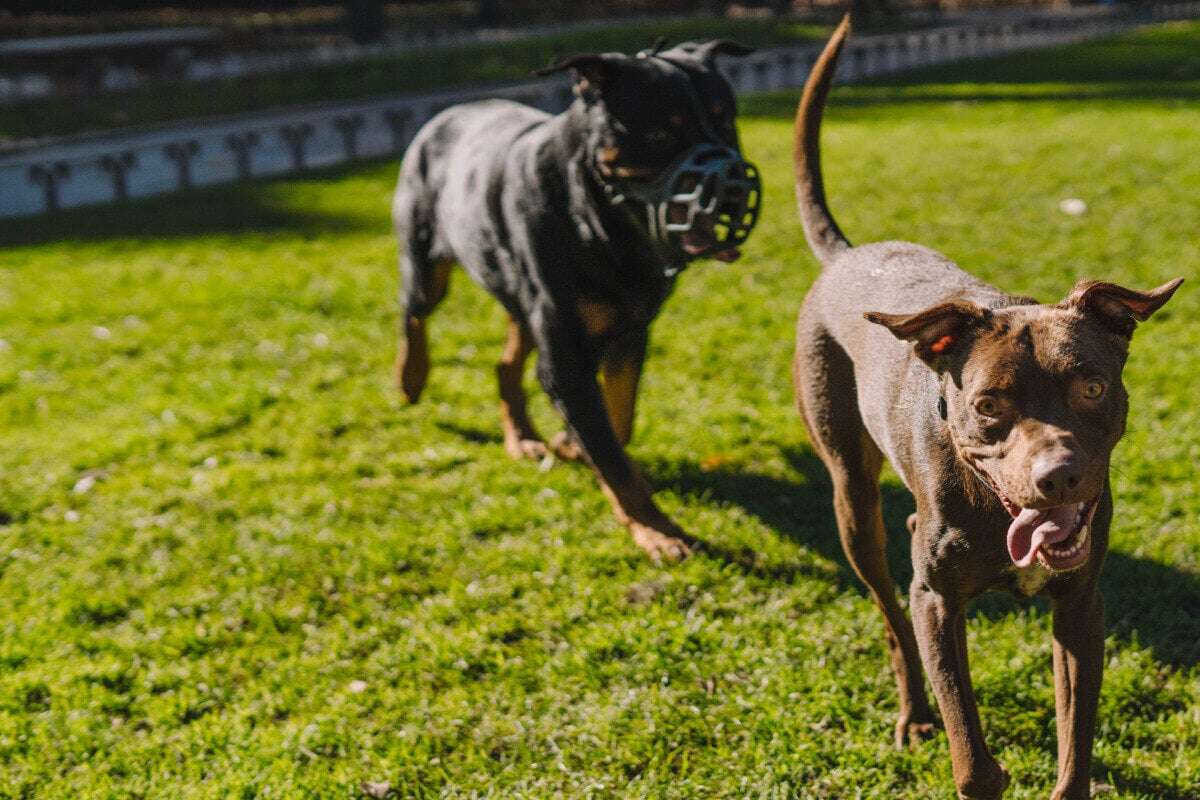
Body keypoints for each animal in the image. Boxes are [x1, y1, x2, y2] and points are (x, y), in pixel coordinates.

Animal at [398, 40, 763, 561]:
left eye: (726, 121)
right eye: (660, 134)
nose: (732, 187)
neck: (600, 219)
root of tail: (445, 113)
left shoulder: (632, 329)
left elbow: (618, 419)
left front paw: (572, 445)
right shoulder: (565, 357)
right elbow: (611, 454)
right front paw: (658, 531)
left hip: (524, 304)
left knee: (504, 365)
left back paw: (522, 439)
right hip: (428, 261)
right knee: (413, 314)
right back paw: (410, 379)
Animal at [787, 15, 1180, 796]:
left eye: (1092, 385)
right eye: (989, 404)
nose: (1059, 477)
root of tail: (847, 255)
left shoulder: (1081, 606)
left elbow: (1075, 747)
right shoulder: (938, 600)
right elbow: (971, 755)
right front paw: (963, 747)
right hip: (854, 504)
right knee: (890, 613)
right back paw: (913, 715)